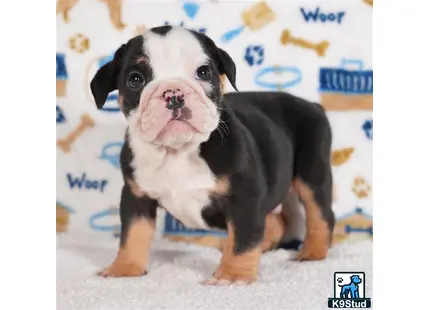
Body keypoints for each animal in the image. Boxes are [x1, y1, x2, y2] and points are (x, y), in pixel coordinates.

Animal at [89, 25, 334, 284]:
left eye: (204, 72)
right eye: (136, 79)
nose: (173, 92)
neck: (177, 151)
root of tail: (313, 105)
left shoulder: (245, 197)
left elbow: (243, 239)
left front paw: (233, 276)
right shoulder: (136, 196)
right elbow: (133, 233)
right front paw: (125, 268)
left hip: (312, 172)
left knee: (320, 214)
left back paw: (311, 253)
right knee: (275, 224)